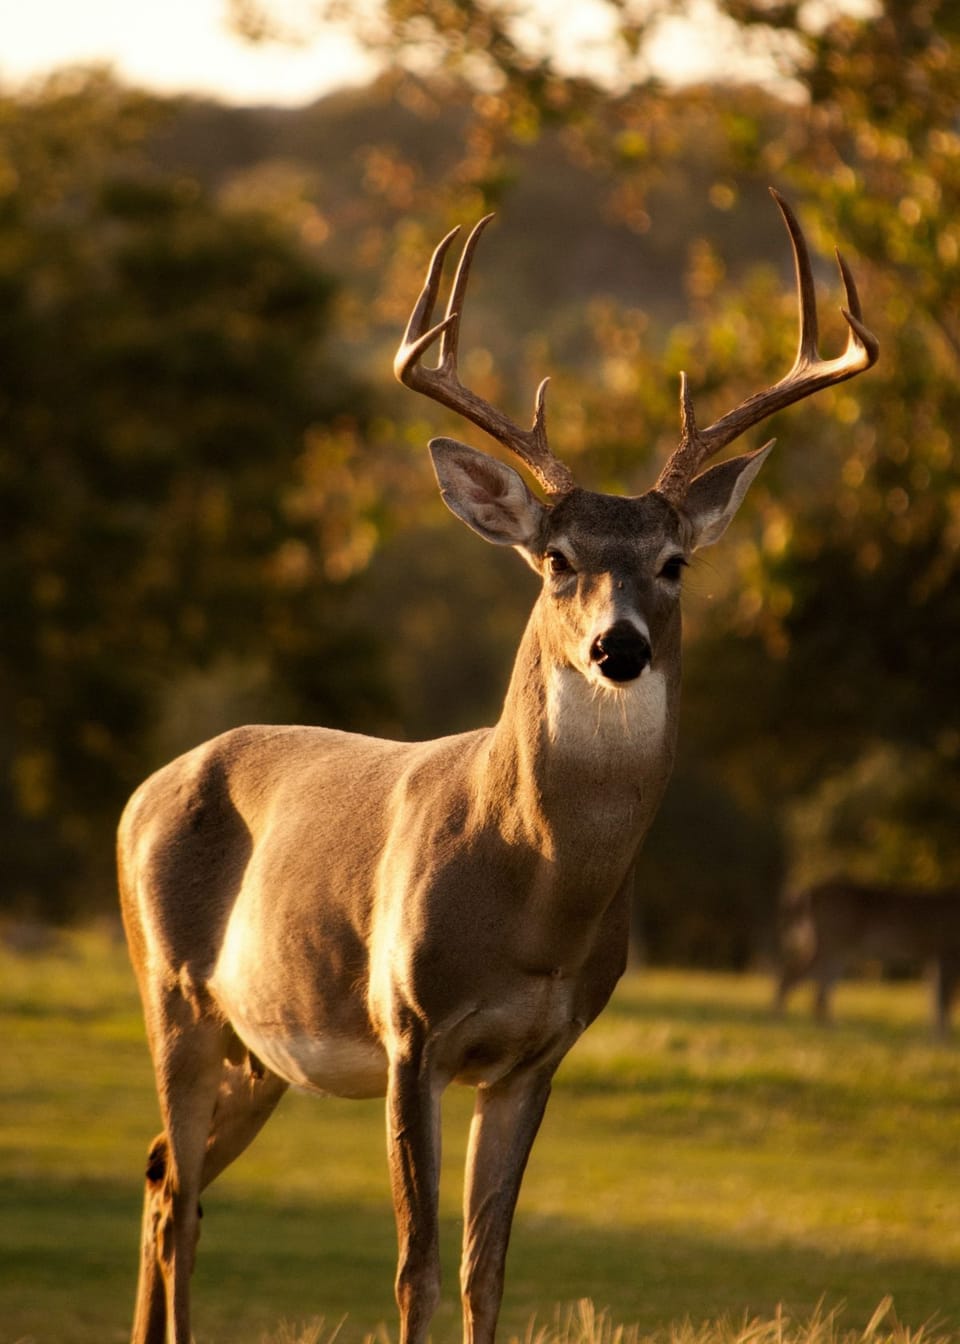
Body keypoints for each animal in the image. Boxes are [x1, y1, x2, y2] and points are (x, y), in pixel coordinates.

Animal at [118, 189, 878, 1344]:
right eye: (557, 560)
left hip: (259, 1046)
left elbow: (487, 1269)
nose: (619, 646)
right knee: (182, 1197)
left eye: (674, 563)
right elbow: (416, 1267)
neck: (533, 900)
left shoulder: (536, 1055)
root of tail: (143, 792)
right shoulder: (409, 1029)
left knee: (166, 1177)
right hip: (172, 993)